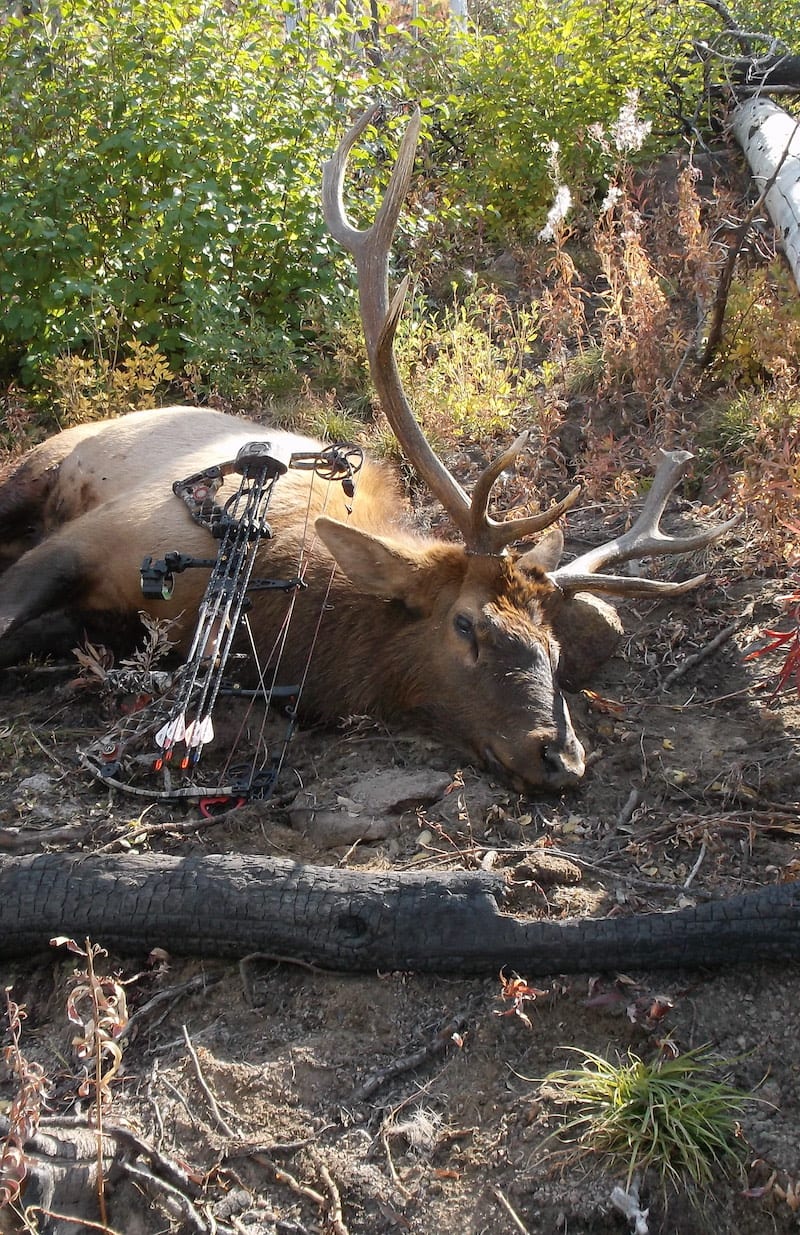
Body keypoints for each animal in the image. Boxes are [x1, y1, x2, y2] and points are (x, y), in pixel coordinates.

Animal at [0, 105, 736, 793]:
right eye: (466, 626)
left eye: (552, 649)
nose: (562, 757)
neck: (283, 604)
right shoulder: (93, 540)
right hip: (35, 468)